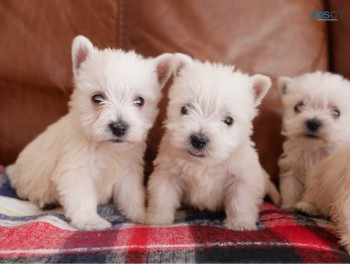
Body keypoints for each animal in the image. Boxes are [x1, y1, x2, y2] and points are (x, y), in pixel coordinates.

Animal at [7, 35, 173, 231]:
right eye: (97, 98)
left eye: (139, 101)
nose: (119, 127)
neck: (106, 147)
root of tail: (13, 169)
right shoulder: (76, 170)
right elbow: (83, 197)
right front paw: (90, 221)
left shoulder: (129, 170)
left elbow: (132, 195)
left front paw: (140, 216)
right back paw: (46, 200)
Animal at [146, 54, 278, 231]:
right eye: (185, 109)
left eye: (228, 120)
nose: (198, 140)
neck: (204, 164)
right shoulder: (167, 174)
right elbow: (162, 197)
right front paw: (158, 221)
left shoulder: (243, 178)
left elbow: (241, 200)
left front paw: (240, 223)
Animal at [278, 71, 350, 210]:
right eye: (298, 106)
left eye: (336, 113)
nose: (312, 123)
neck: (314, 149)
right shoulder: (292, 167)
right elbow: (290, 188)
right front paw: (288, 206)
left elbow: (312, 192)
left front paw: (307, 205)